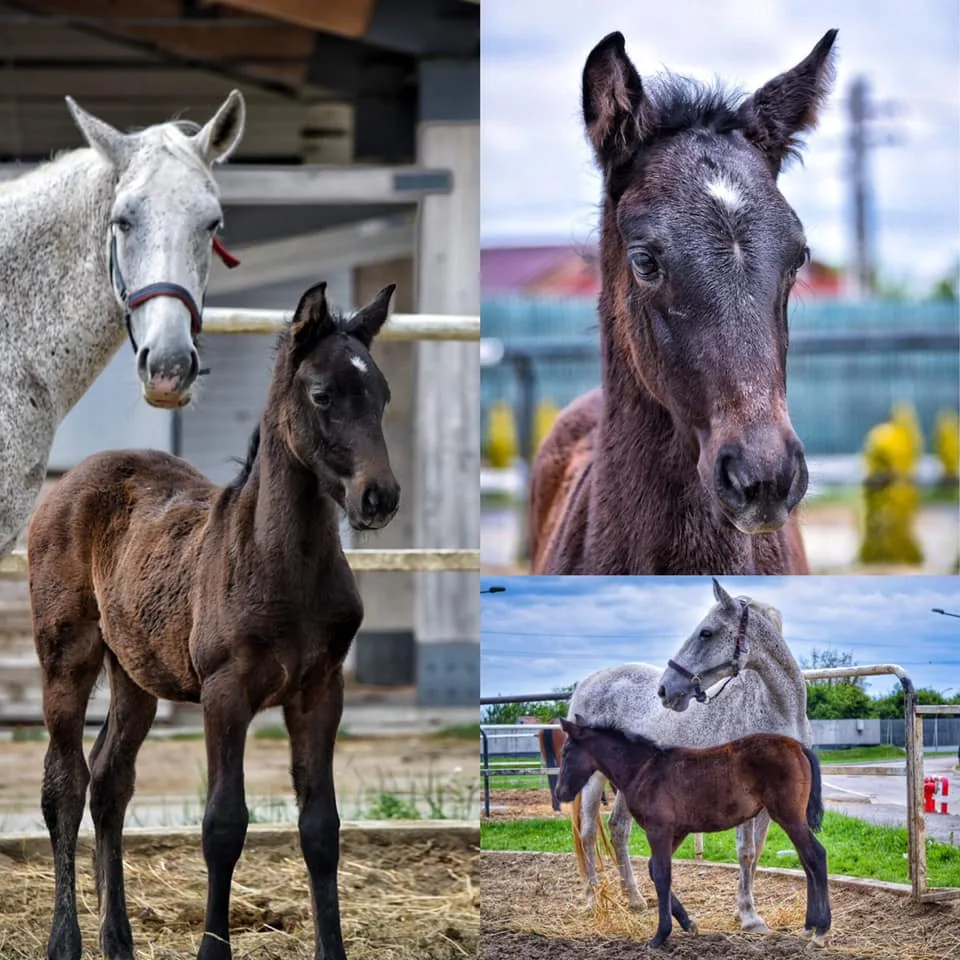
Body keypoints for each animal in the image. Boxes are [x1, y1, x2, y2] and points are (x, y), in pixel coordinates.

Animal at [28, 280, 400, 960]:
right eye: (322, 394)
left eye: (382, 393)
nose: (379, 497)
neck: (284, 564)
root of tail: (73, 478)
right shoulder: (225, 692)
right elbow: (223, 823)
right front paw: (210, 949)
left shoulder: (320, 691)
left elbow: (322, 828)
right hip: (66, 655)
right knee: (64, 783)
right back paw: (66, 941)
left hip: (135, 674)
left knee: (110, 781)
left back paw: (118, 940)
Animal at [556, 718, 830, 948]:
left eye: (567, 753)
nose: (560, 793)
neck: (643, 769)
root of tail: (798, 746)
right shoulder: (678, 831)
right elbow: (653, 870)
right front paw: (688, 924)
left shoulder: (658, 830)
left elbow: (662, 874)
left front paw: (660, 935)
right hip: (790, 818)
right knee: (807, 861)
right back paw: (809, 926)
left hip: (788, 815)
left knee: (816, 855)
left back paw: (821, 930)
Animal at [569, 578, 810, 933]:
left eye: (706, 633)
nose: (665, 690)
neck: (777, 710)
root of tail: (590, 680)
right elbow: (746, 851)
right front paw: (750, 917)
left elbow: (757, 852)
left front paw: (742, 911)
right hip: (593, 778)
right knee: (586, 833)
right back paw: (591, 899)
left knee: (617, 829)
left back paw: (635, 899)